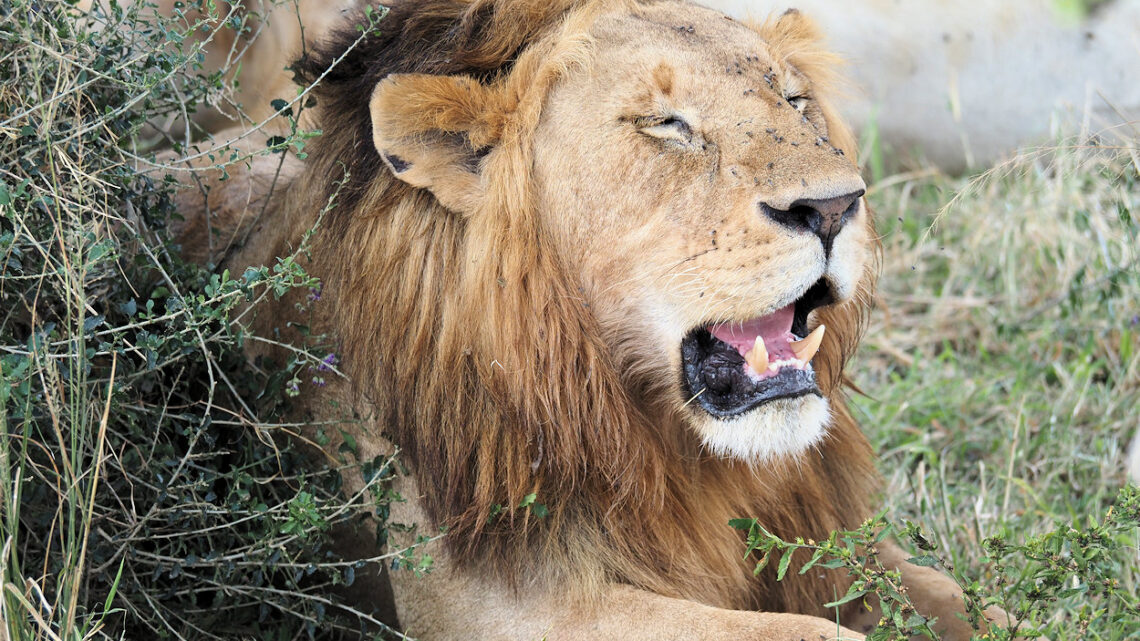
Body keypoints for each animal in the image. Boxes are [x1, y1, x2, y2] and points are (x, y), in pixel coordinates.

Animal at [175, 1, 1016, 638]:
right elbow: (808, 632)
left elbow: (955, 597)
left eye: (794, 100)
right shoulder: (504, 606)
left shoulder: (815, 535)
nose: (839, 206)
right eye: (666, 123)